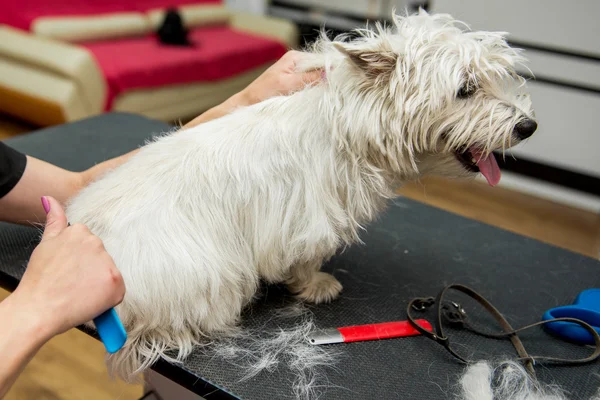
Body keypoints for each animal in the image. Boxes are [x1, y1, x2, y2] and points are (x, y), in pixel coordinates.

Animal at [67, 10, 540, 382]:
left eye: (499, 78)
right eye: (465, 89)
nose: (528, 126)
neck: (349, 130)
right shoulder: (306, 219)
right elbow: (305, 258)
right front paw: (317, 285)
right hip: (208, 272)